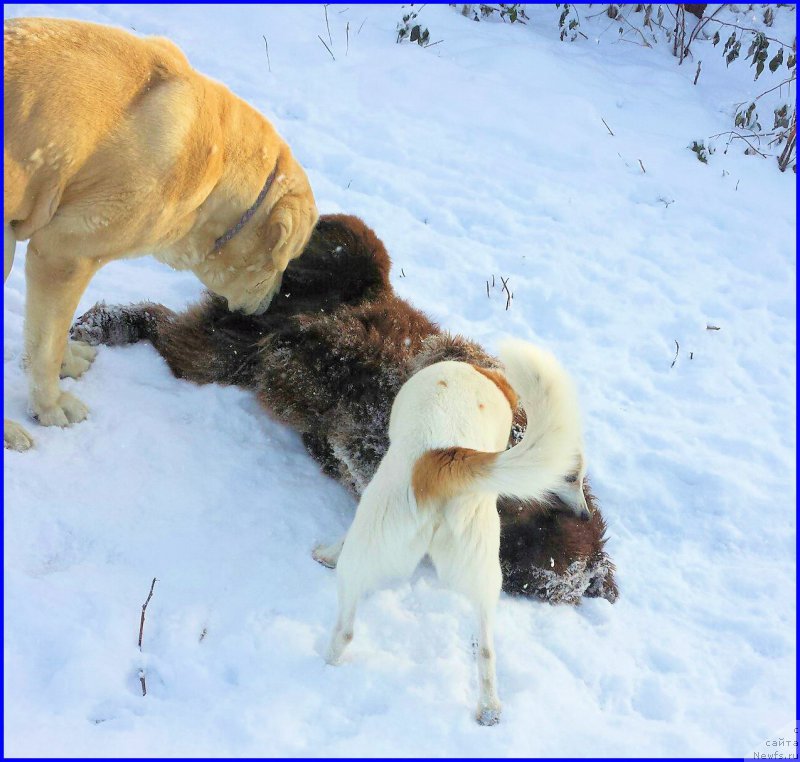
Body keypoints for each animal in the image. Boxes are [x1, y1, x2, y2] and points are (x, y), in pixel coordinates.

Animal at [70, 212, 620, 600]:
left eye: (530, 560)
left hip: (217, 355)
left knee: (167, 328)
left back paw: (106, 325)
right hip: (352, 262)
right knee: (340, 246)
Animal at [312, 338, 588, 724]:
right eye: (572, 477)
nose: (586, 516)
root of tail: (446, 460)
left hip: (369, 547)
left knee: (347, 628)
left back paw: (326, 654)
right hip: (483, 573)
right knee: (486, 652)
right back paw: (489, 709)